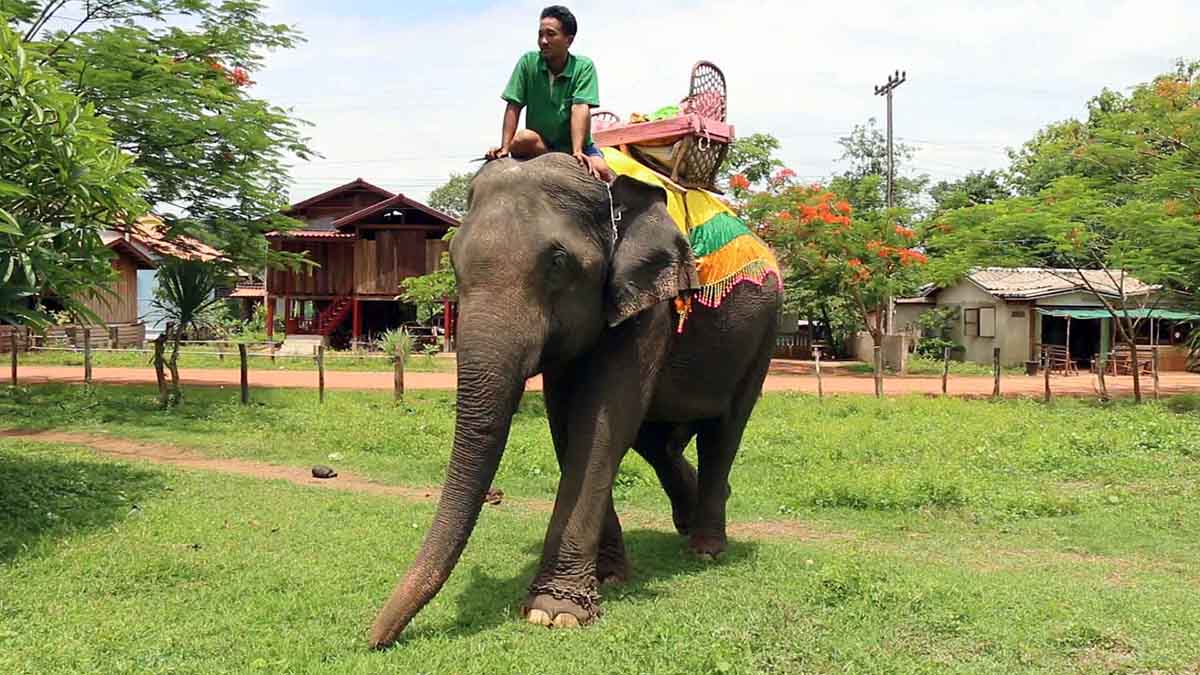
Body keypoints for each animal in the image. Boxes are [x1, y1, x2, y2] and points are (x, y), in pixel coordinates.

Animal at [367, 152, 777, 648]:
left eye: (558, 262)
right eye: (454, 261)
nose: (374, 639)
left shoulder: (647, 306)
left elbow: (601, 421)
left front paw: (555, 612)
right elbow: (568, 420)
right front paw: (608, 578)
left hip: (763, 335)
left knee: (725, 430)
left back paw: (705, 548)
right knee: (657, 440)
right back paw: (687, 520)